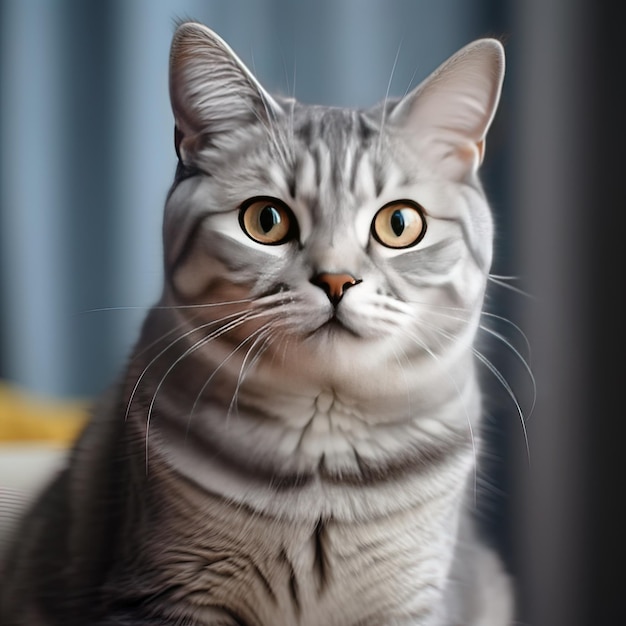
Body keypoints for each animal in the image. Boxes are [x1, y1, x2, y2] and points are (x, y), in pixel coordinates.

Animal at [0, 19, 512, 624]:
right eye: (266, 220)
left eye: (400, 223)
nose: (337, 280)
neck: (323, 467)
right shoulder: (167, 590)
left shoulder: (412, 601)